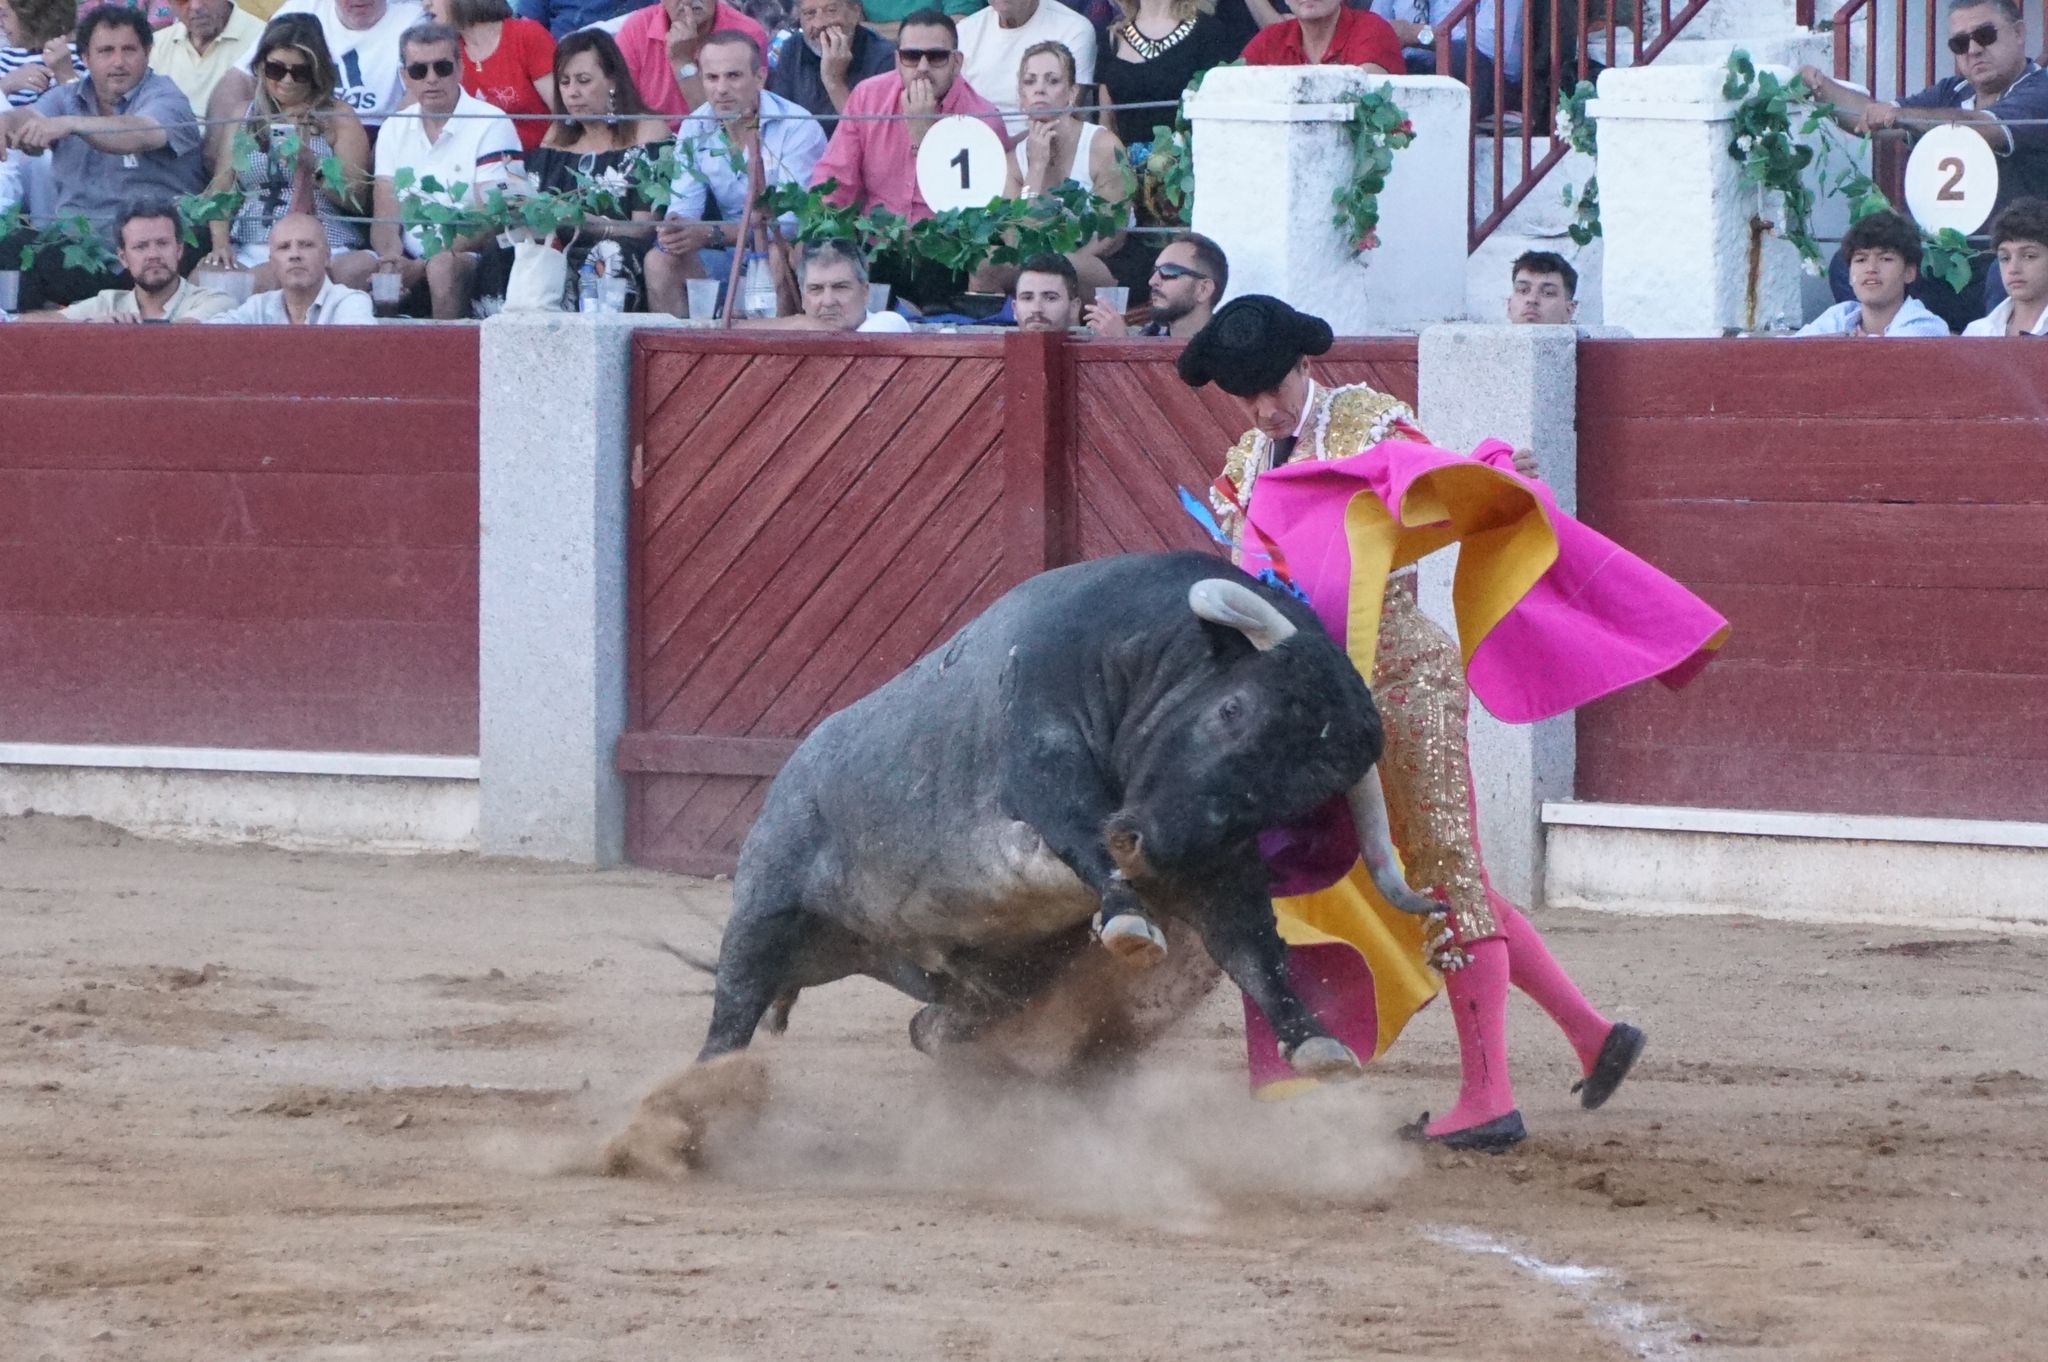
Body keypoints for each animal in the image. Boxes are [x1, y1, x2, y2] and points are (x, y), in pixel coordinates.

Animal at [696, 548, 1433, 1081]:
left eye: (1297, 797)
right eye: (1232, 709)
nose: (1144, 845)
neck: (1138, 651)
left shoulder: (1213, 859)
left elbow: (1253, 947)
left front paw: (1314, 1041)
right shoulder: (1045, 765)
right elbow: (1081, 831)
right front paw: (1129, 919)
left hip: (983, 981)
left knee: (931, 1023)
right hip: (766, 908)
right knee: (735, 1003)